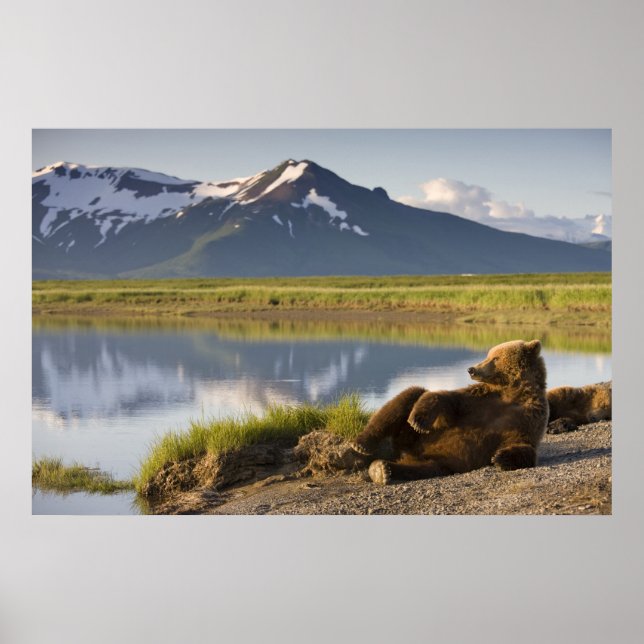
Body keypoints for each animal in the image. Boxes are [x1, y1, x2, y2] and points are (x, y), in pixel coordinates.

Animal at [351, 339, 548, 485]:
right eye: (488, 355)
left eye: (495, 358)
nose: (472, 369)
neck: (511, 392)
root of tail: (408, 452)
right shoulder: (479, 400)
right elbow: (447, 399)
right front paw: (419, 420)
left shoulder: (527, 416)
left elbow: (523, 444)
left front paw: (501, 457)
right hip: (411, 437)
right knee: (409, 395)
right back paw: (362, 445)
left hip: (439, 461)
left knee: (420, 468)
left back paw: (382, 470)